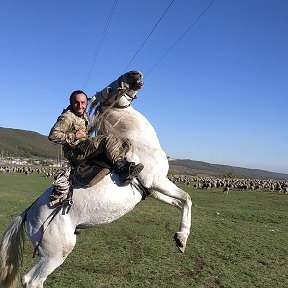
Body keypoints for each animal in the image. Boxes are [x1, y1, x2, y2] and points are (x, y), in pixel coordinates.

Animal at [1, 70, 192, 288]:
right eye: (109, 89)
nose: (134, 74)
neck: (139, 143)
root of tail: (28, 214)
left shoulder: (153, 190)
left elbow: (181, 202)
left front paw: (180, 239)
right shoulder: (157, 181)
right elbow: (187, 197)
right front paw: (182, 239)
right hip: (54, 255)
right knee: (32, 280)